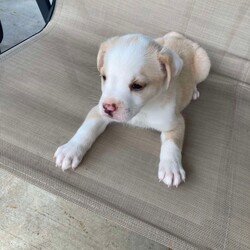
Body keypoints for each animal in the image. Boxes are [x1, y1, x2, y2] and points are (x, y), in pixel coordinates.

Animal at [53, 31, 210, 187]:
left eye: (137, 86)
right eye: (104, 77)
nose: (108, 108)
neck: (143, 110)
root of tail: (180, 37)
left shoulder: (175, 123)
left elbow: (172, 144)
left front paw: (171, 167)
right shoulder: (97, 111)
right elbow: (86, 130)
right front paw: (70, 150)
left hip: (204, 66)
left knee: (196, 81)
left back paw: (194, 90)